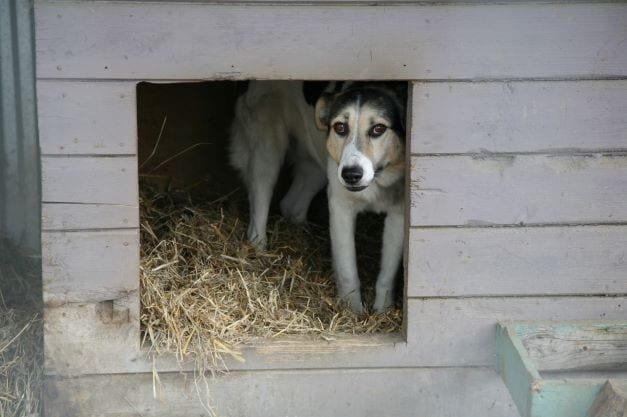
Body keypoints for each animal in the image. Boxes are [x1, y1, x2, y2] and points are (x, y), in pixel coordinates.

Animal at [231, 81, 408, 310]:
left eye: (378, 129)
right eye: (340, 127)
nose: (351, 174)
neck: (379, 179)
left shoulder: (399, 214)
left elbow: (387, 275)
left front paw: (382, 311)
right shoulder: (341, 207)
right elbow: (348, 270)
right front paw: (353, 311)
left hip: (316, 167)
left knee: (292, 205)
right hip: (267, 156)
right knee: (258, 218)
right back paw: (259, 254)